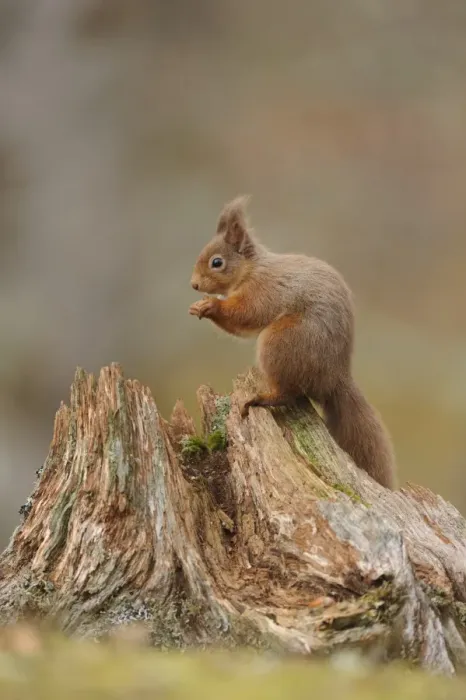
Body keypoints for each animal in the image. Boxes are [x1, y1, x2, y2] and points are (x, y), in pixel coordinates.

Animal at [189, 196, 396, 489]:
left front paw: (211, 306)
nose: (194, 285)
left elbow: (247, 314)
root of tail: (334, 377)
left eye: (216, 262)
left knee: (289, 393)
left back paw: (261, 398)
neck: (252, 269)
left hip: (281, 343)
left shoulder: (263, 290)